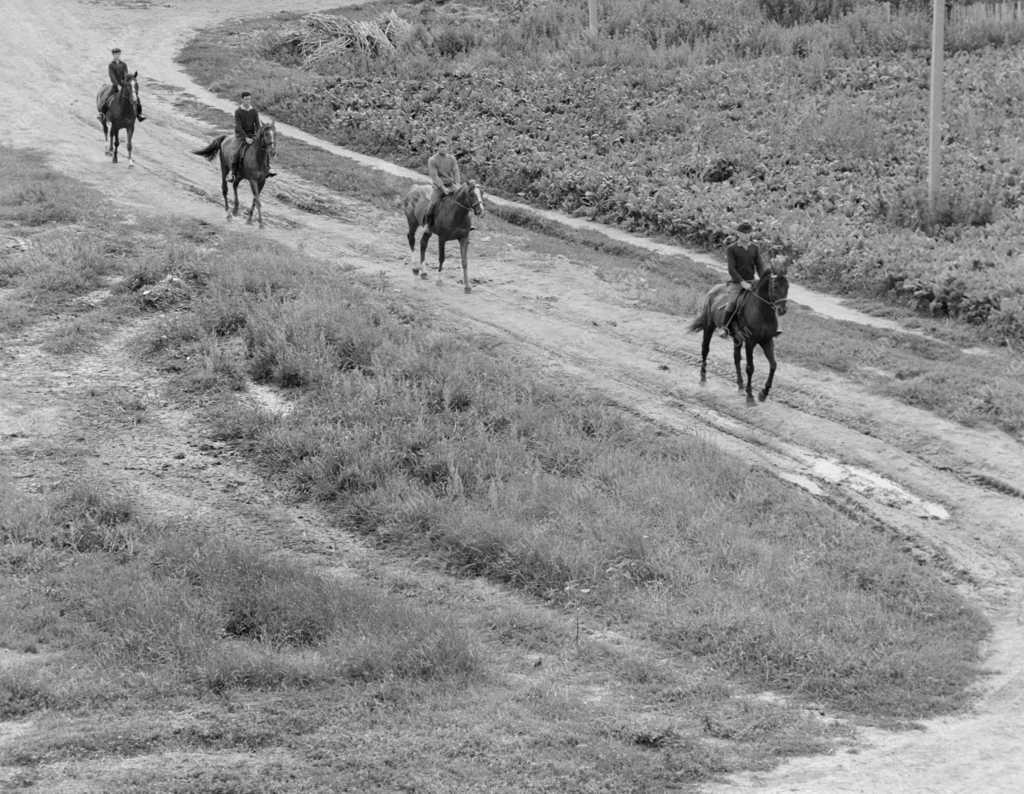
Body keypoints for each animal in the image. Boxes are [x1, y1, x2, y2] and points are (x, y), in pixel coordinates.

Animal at [688, 266, 790, 403]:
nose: (782, 310)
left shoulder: (767, 341)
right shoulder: (750, 342)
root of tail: (713, 290)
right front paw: (750, 396)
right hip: (709, 326)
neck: (762, 312)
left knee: (736, 358)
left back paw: (740, 386)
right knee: (705, 349)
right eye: (775, 286)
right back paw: (703, 379)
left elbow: (773, 365)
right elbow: (750, 367)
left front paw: (763, 393)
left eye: (787, 286)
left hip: (737, 338)